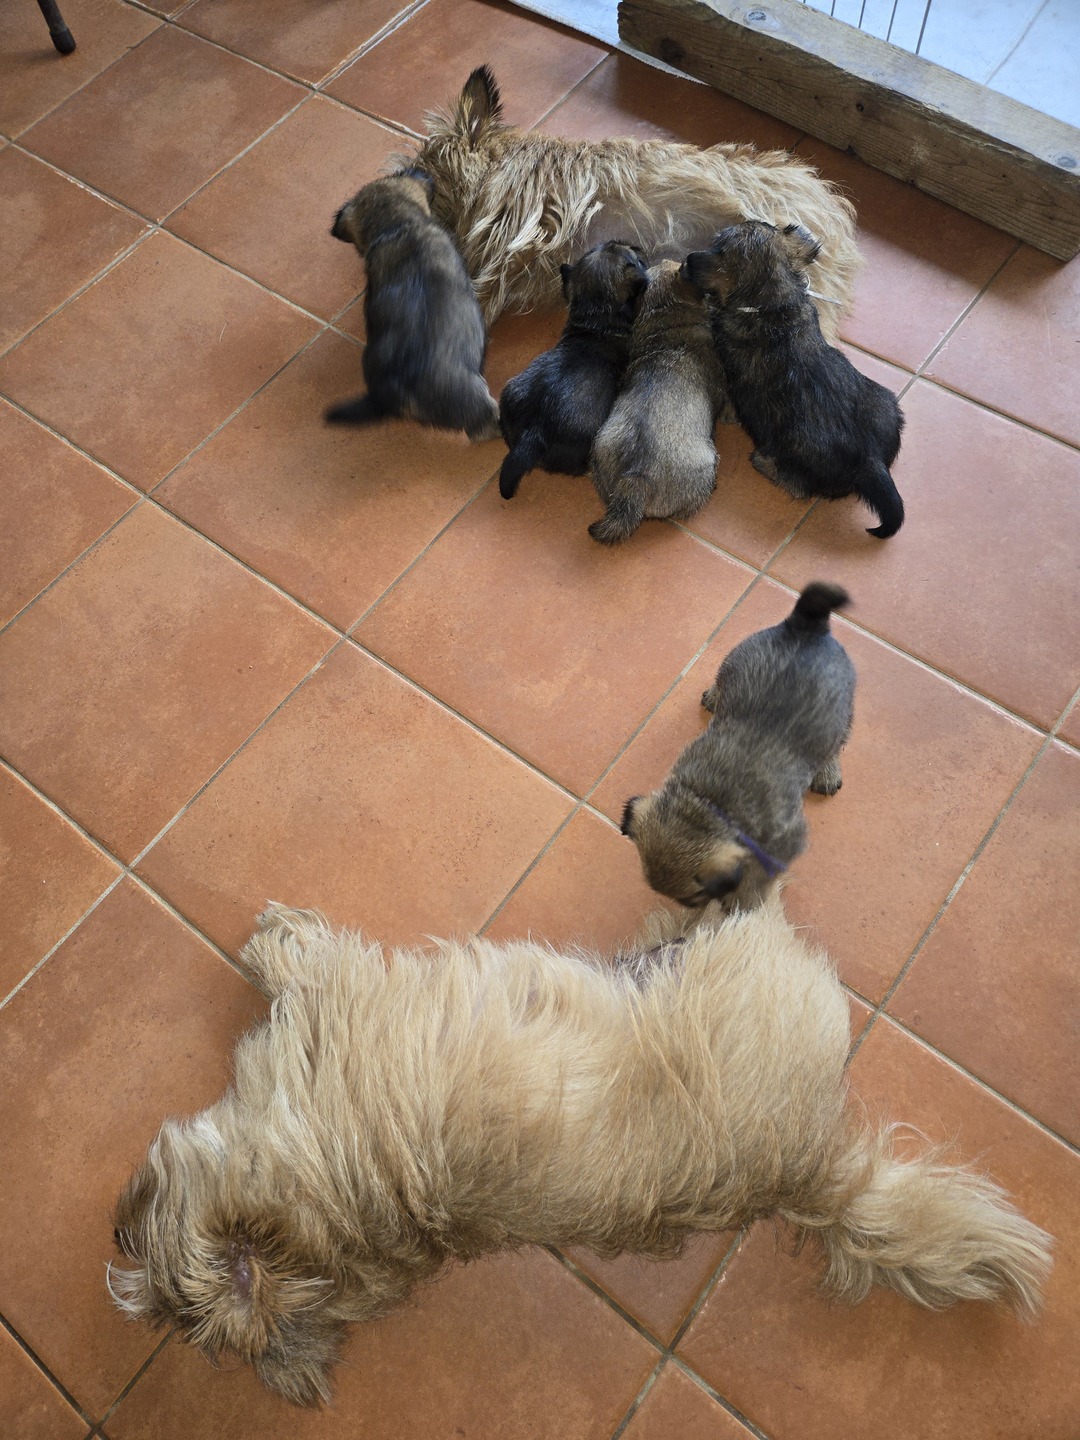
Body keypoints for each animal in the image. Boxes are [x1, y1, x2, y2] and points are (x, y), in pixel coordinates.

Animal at [109, 900, 1051, 1405]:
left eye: (151, 1245)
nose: (114, 1234)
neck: (323, 1221)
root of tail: (812, 1174)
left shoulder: (338, 1005)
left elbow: (302, 962)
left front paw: (273, 941)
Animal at [621, 582, 856, 908]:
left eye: (692, 899)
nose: (697, 908)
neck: (706, 803)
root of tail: (805, 625)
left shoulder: (783, 843)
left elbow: (758, 876)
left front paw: (745, 902)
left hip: (842, 710)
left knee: (837, 742)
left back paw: (828, 772)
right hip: (732, 661)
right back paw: (714, 696)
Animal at [684, 221, 905, 537]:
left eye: (717, 247)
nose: (688, 258)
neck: (772, 303)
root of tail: (870, 458)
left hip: (790, 450)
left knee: (797, 485)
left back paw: (763, 462)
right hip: (886, 403)